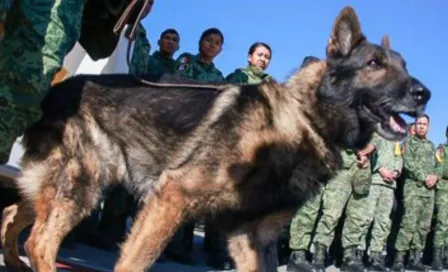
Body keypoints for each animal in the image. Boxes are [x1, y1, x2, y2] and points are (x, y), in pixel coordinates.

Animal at [0, 5, 430, 272]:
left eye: (404, 66)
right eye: (373, 64)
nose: (424, 93)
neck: (304, 119)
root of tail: (56, 89)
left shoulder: (252, 238)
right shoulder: (171, 198)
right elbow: (135, 261)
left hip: (62, 187)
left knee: (13, 216)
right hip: (84, 185)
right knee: (40, 241)